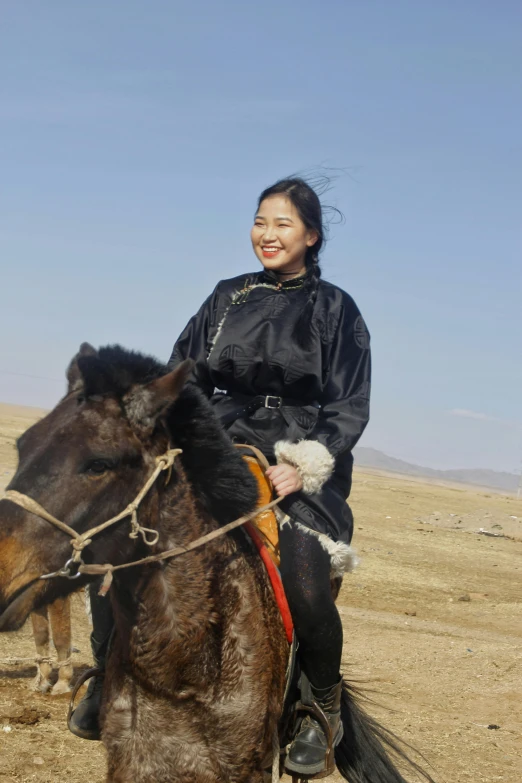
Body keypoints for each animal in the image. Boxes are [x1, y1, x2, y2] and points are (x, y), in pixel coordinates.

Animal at [0, 346, 430, 783]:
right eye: (23, 445)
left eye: (99, 463)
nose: (3, 571)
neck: (184, 668)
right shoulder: (134, 764)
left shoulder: (250, 769)